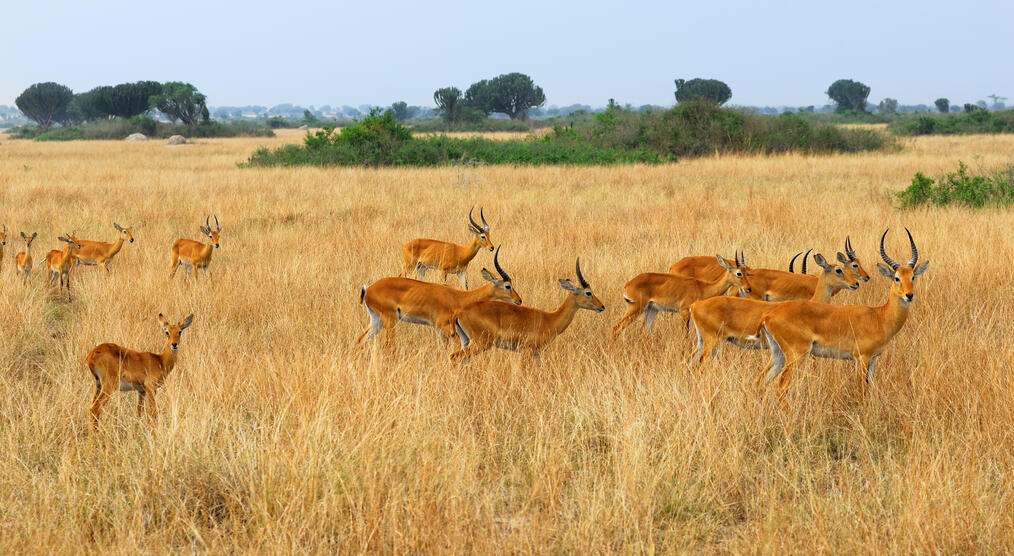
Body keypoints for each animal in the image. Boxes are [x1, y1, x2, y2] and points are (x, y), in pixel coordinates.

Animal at [358, 246, 523, 346]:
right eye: (508, 286)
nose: (519, 300)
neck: (459, 297)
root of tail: (368, 289)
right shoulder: (444, 327)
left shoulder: (440, 330)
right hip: (390, 321)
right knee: (388, 346)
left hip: (377, 320)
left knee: (360, 340)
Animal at [450, 257, 600, 365]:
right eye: (588, 292)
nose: (602, 306)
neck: (550, 319)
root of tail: (459, 312)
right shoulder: (527, 351)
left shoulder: (536, 353)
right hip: (480, 343)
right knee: (454, 356)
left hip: (466, 341)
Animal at [608, 252, 754, 338]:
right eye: (739, 273)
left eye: (747, 272)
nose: (748, 288)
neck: (702, 287)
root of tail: (628, 284)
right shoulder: (684, 312)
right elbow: (685, 334)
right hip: (635, 309)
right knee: (616, 328)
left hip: (651, 310)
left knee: (643, 333)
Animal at [758, 229, 928, 399]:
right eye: (896, 278)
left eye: (913, 276)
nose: (909, 295)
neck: (880, 316)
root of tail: (768, 315)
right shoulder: (861, 358)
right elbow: (861, 391)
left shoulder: (872, 360)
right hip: (797, 354)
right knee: (781, 386)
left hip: (778, 354)